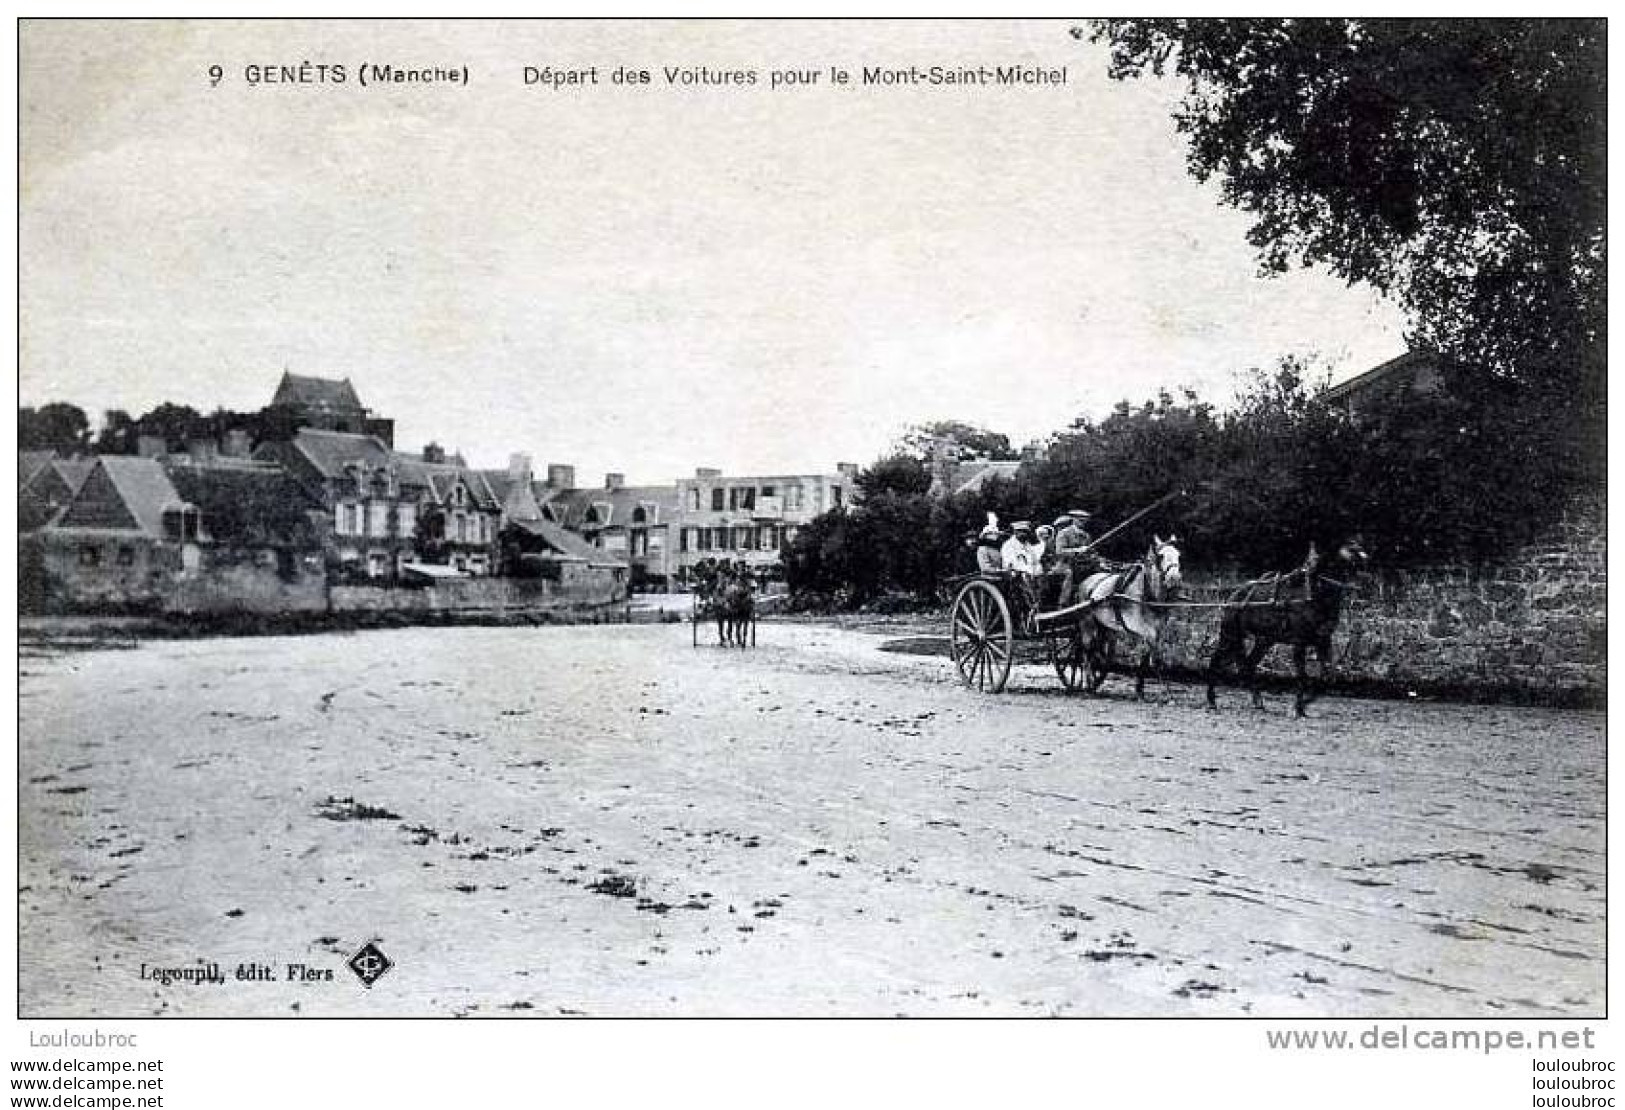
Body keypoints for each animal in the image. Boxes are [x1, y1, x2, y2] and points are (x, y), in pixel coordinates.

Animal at [1079, 533, 1183, 698]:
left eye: (1179, 555)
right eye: (1161, 556)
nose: (1175, 579)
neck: (1148, 594)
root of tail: (1087, 580)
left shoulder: (1157, 631)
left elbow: (1145, 659)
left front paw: (1140, 690)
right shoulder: (1145, 632)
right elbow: (1155, 659)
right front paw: (1168, 694)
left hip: (1105, 627)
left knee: (1096, 650)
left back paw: (1093, 684)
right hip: (1087, 623)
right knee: (1086, 652)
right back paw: (1087, 685)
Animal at [1209, 539, 1371, 721]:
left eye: (1361, 552)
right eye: (1351, 553)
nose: (1366, 582)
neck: (1314, 595)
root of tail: (1233, 597)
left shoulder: (1323, 641)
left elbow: (1327, 677)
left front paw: (1304, 704)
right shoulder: (1299, 643)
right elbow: (1302, 677)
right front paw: (1297, 708)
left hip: (1264, 640)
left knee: (1249, 664)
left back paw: (1257, 701)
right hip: (1230, 635)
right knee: (1215, 661)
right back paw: (1212, 701)